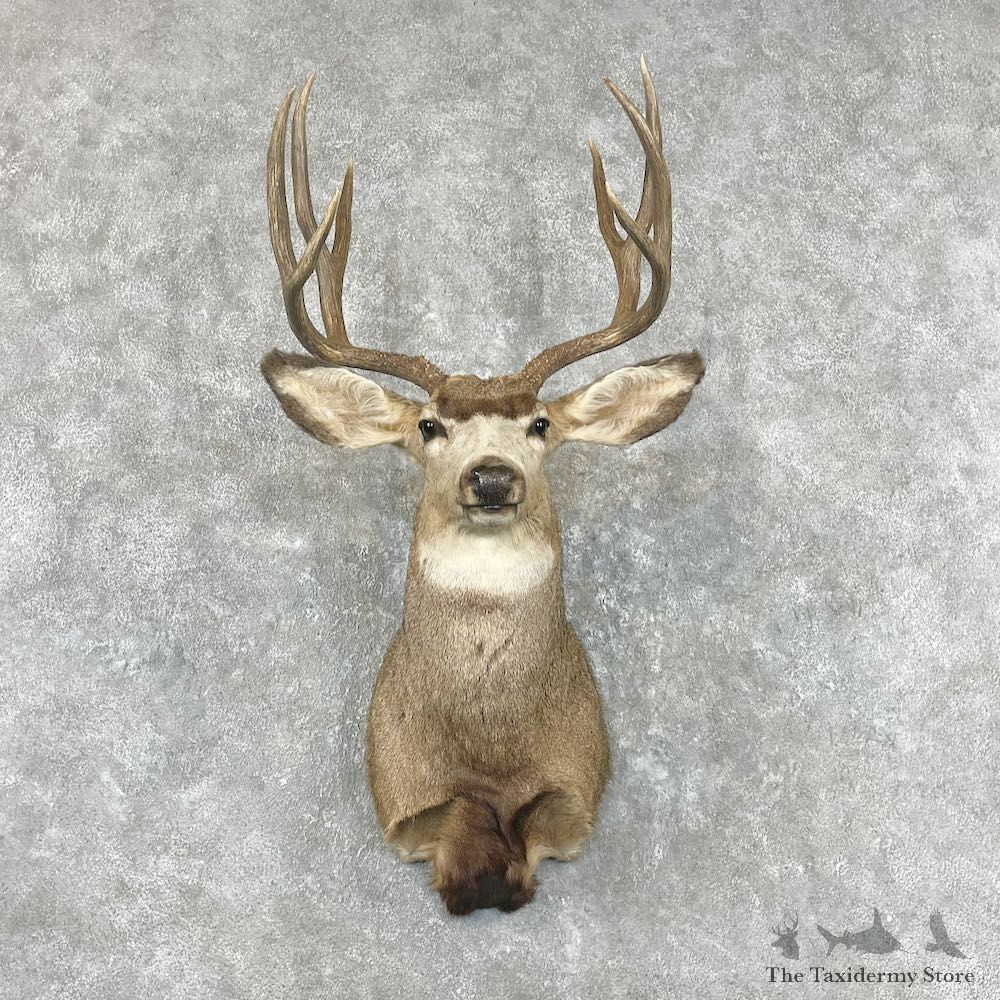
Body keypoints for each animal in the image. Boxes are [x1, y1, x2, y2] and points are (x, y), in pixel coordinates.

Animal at [260, 59, 704, 915]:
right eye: (430, 426)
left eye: (540, 424)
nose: (492, 477)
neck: (492, 744)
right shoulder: (406, 792)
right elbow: (448, 823)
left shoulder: (573, 781)